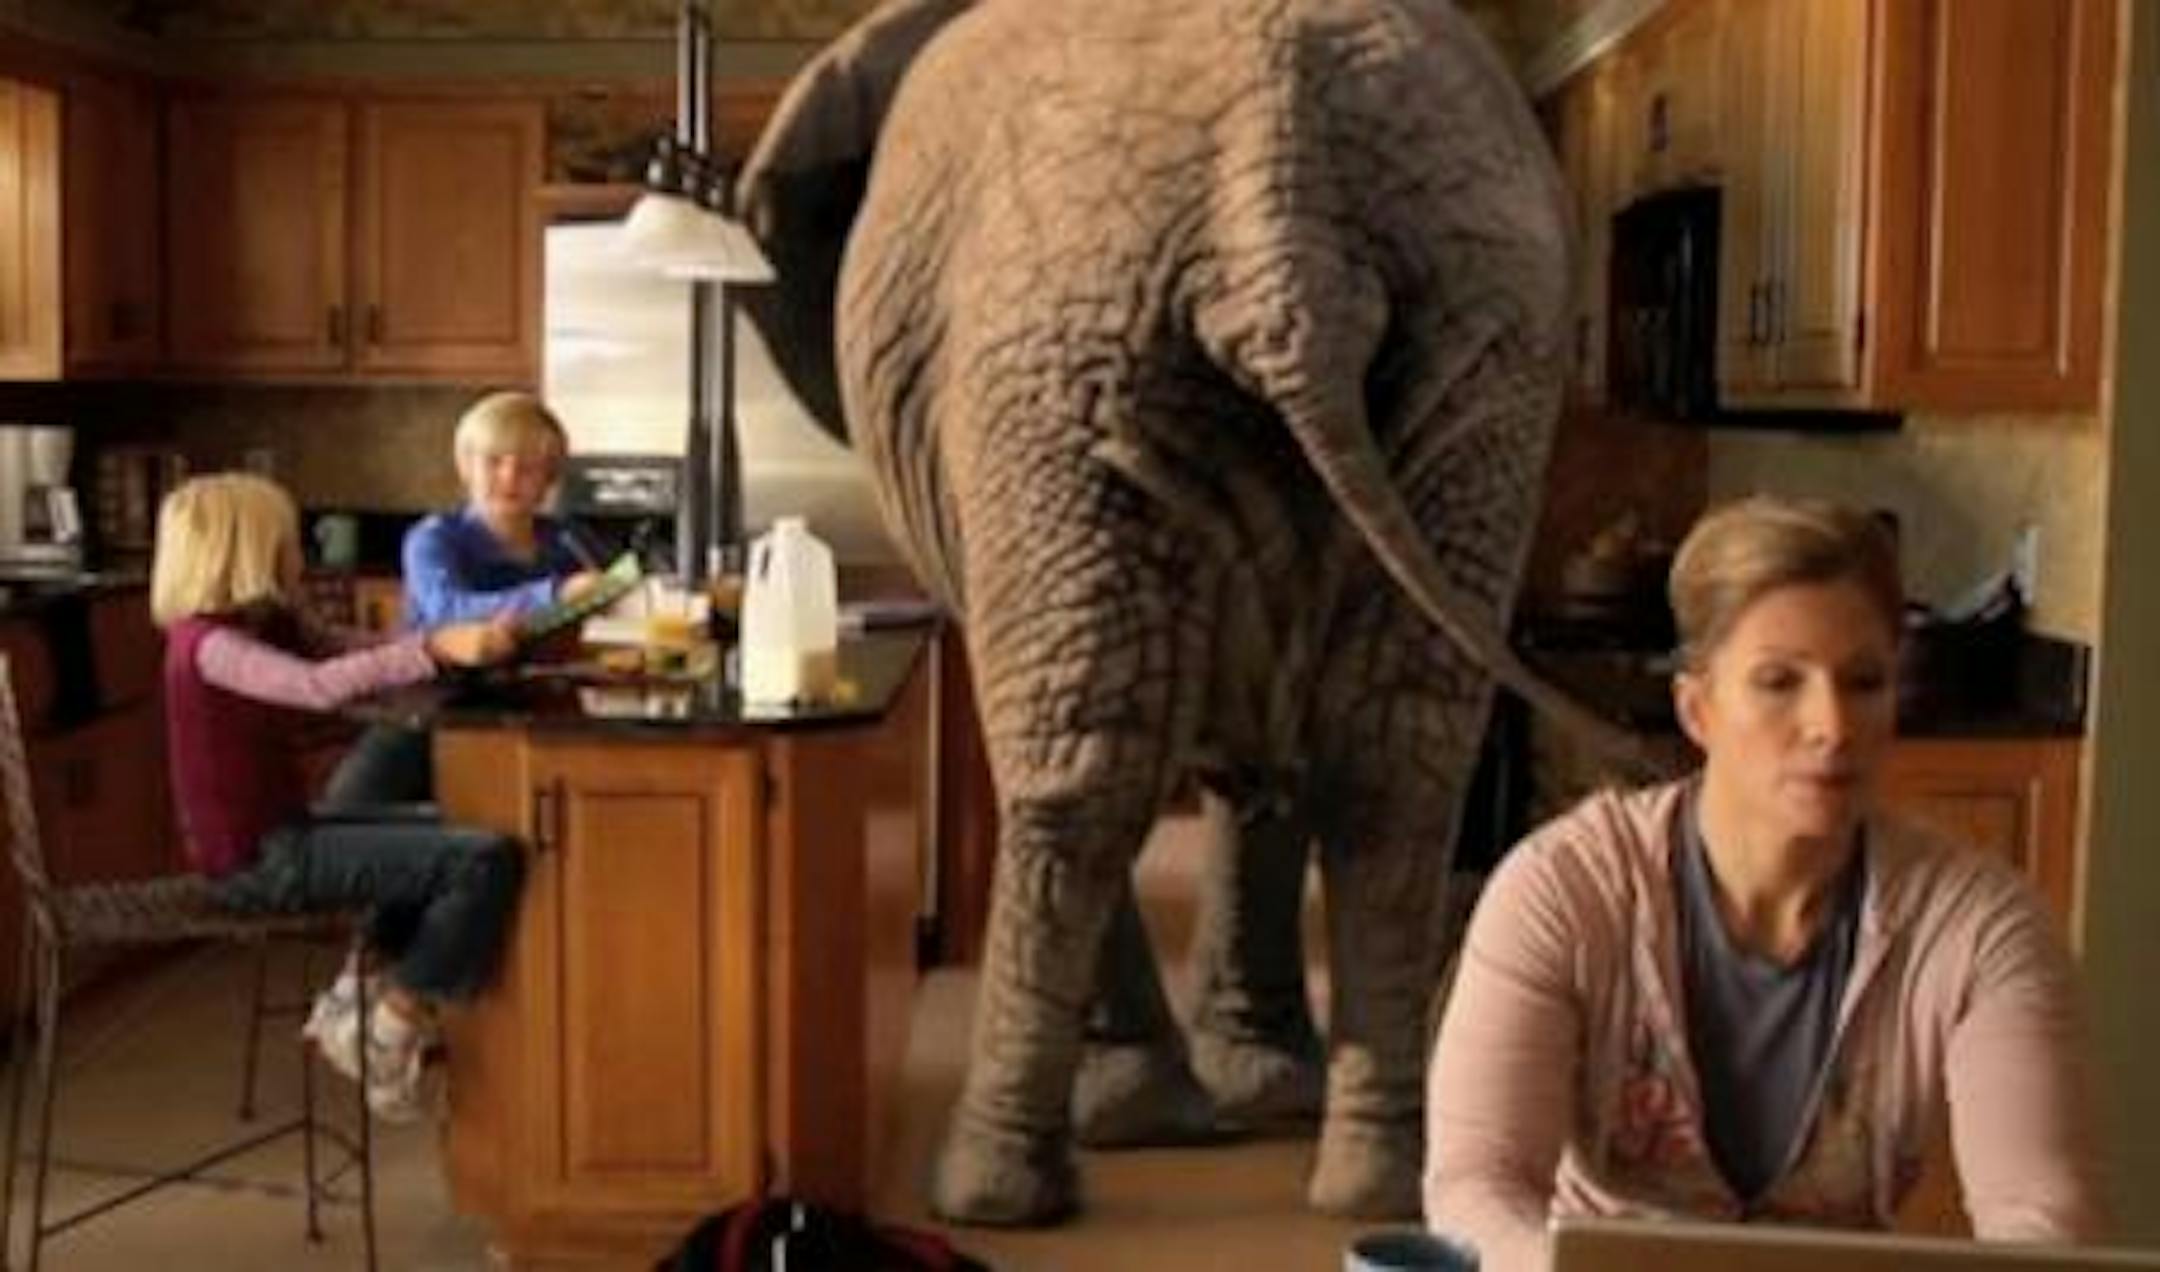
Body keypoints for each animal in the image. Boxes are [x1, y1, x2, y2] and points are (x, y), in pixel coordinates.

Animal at [735, 0, 1642, 1226]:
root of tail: (1283, 207)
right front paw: (1254, 1095)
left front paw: (1166, 1109)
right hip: (1482, 343)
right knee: (1394, 763)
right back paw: (1375, 1185)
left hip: (1055, 357)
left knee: (1082, 769)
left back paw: (998, 1191)